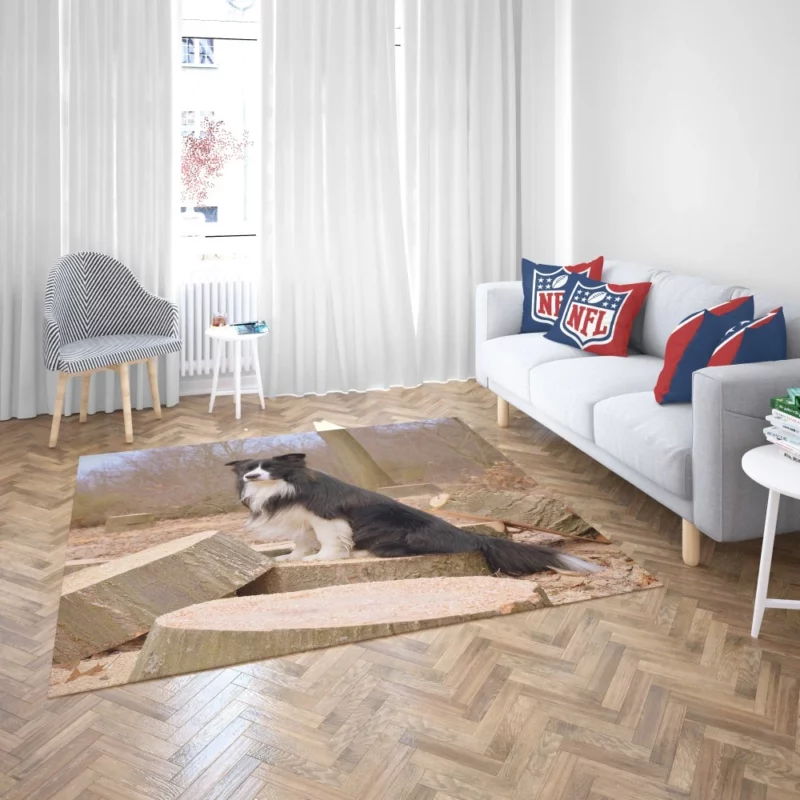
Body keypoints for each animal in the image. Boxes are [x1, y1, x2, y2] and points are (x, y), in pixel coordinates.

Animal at [225, 450, 600, 576]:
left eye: (269, 468)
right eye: (249, 469)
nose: (250, 476)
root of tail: (469, 535)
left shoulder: (326, 517)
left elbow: (330, 541)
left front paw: (322, 559)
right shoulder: (303, 522)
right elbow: (301, 542)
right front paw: (293, 558)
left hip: (407, 534)